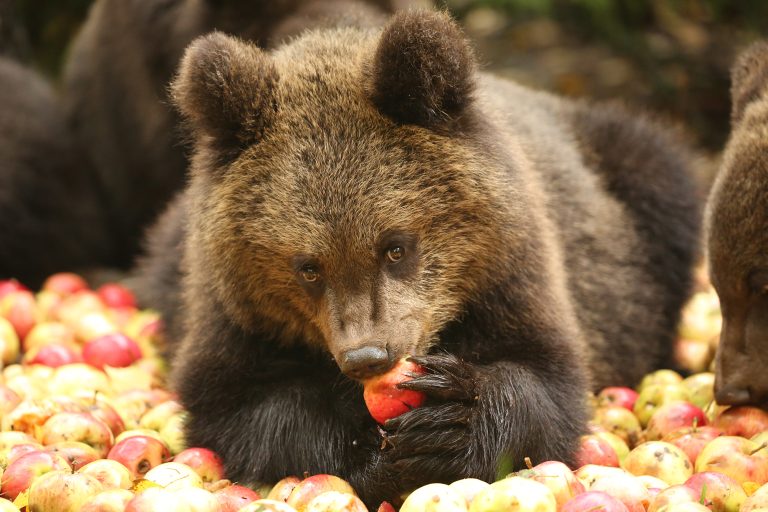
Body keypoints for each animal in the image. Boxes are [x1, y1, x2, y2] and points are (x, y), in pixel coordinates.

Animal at [136, 10, 704, 506]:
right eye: (308, 266)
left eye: (396, 246)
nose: (368, 356)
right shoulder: (228, 307)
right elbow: (240, 405)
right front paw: (368, 444)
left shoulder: (515, 274)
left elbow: (546, 383)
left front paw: (451, 421)